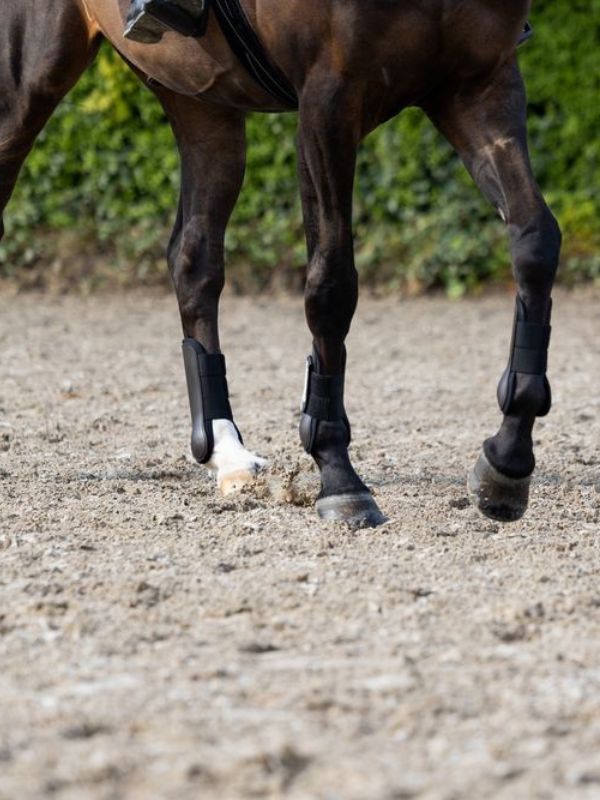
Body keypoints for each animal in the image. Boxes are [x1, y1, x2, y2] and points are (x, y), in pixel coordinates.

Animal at [0, 0, 561, 527]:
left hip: (200, 99)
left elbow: (536, 243)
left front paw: (507, 464)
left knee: (193, 261)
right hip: (27, 84)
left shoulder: (480, 84)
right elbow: (331, 284)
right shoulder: (329, 100)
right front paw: (338, 473)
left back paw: (227, 454)